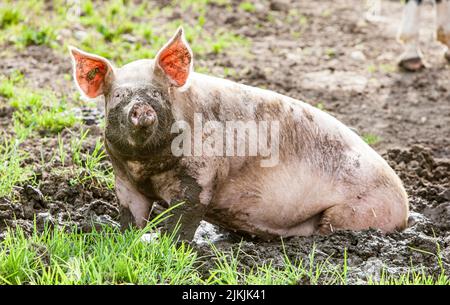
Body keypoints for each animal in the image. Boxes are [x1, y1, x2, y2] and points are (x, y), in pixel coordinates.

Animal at [68, 26, 410, 240]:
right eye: (118, 96)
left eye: (157, 93)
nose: (140, 107)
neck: (145, 166)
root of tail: (405, 206)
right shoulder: (124, 180)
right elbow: (131, 217)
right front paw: (126, 240)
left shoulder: (202, 175)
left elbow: (184, 216)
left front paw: (169, 246)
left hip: (358, 210)